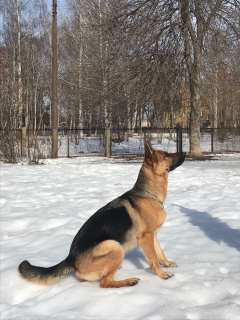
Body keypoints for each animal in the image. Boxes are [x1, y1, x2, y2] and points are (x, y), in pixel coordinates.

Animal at [19, 142, 187, 288]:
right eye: (166, 155)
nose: (185, 152)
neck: (149, 193)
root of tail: (70, 259)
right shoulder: (146, 237)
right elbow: (153, 259)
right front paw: (162, 274)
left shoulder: (153, 235)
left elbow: (160, 252)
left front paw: (167, 263)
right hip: (114, 245)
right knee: (105, 282)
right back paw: (129, 281)